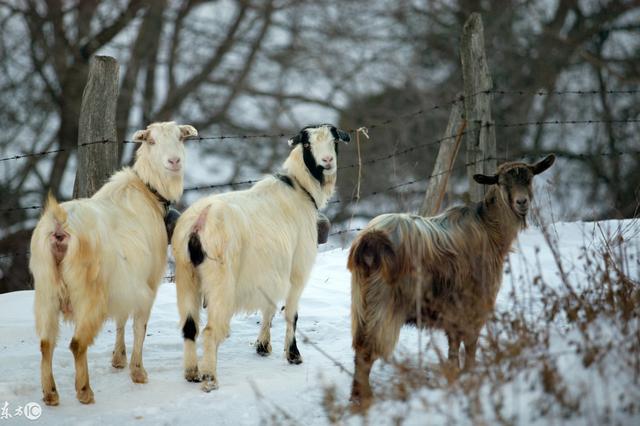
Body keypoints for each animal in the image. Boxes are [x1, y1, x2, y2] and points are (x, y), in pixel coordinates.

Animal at [29, 120, 198, 406]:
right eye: (151, 141)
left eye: (180, 138)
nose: (174, 161)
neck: (148, 191)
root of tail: (59, 225)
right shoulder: (147, 284)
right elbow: (139, 325)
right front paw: (137, 371)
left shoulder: (125, 283)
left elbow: (121, 318)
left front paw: (118, 359)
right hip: (88, 295)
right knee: (77, 344)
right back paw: (84, 391)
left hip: (46, 291)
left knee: (45, 343)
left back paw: (50, 393)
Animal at [172, 122, 348, 390]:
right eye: (307, 144)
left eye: (334, 141)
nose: (327, 161)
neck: (300, 188)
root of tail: (199, 223)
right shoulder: (297, 269)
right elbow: (291, 313)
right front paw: (293, 355)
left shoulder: (270, 271)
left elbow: (269, 307)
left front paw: (263, 346)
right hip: (220, 282)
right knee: (210, 331)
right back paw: (210, 379)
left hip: (186, 278)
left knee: (189, 327)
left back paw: (192, 373)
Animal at [348, 154, 552, 410]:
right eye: (502, 183)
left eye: (529, 178)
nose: (521, 202)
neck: (489, 228)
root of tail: (370, 240)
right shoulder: (475, 303)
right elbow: (470, 343)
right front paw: (471, 373)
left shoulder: (453, 311)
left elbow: (454, 345)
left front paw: (455, 373)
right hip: (383, 304)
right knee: (367, 350)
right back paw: (365, 398)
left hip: (361, 303)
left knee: (359, 348)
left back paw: (356, 395)